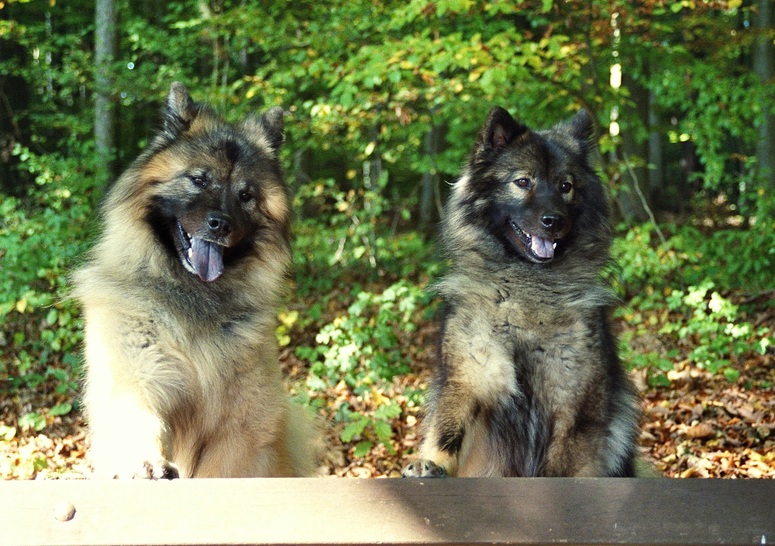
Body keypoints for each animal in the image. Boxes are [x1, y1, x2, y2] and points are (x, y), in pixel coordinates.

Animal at [70, 81, 318, 476]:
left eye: (246, 195)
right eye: (199, 180)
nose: (221, 224)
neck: (195, 298)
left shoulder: (241, 428)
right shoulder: (140, 377)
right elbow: (138, 419)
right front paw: (145, 463)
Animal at [404, 106, 640, 476]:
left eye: (566, 186)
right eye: (523, 182)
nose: (553, 220)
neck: (525, 292)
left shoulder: (574, 409)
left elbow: (562, 465)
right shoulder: (470, 382)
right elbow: (448, 431)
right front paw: (432, 463)